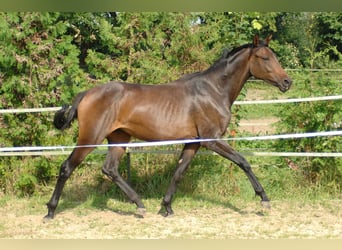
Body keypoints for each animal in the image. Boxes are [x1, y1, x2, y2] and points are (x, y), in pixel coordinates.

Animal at [45, 34, 292, 219]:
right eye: (264, 57)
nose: (287, 82)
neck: (213, 91)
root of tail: (87, 93)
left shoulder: (194, 143)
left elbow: (178, 172)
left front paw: (167, 207)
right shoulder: (211, 139)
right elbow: (243, 161)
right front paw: (264, 200)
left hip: (119, 138)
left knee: (110, 169)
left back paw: (140, 205)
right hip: (91, 137)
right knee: (67, 167)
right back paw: (50, 211)